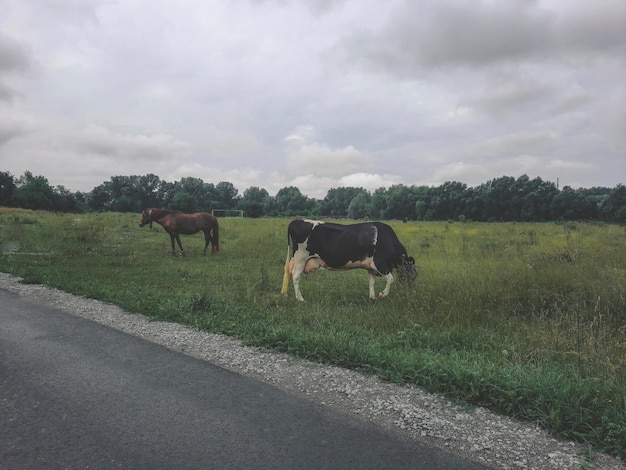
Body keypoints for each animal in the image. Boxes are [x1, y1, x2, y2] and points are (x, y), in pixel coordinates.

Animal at [278, 218, 414, 300]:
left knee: (288, 271)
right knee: (296, 275)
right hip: (301, 257)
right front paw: (382, 294)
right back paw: (300, 299)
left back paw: (284, 294)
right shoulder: (379, 263)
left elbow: (371, 282)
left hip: (296, 258)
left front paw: (372, 297)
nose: (410, 292)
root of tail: (296, 220)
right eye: (413, 274)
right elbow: (391, 279)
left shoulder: (371, 267)